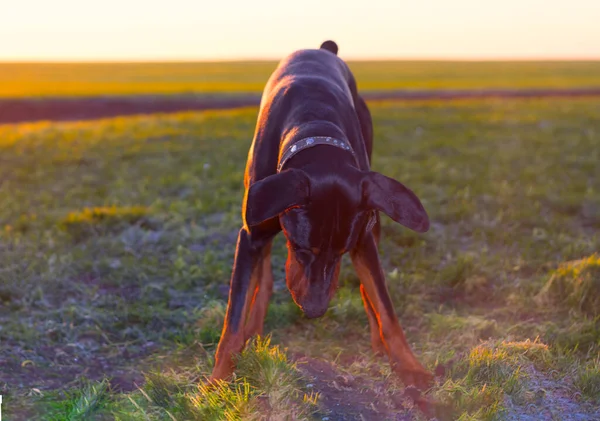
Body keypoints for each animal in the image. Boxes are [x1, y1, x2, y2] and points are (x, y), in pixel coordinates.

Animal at [210, 40, 432, 390]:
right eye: (301, 249)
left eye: (339, 253)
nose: (314, 312)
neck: (314, 126)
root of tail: (323, 48)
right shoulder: (251, 232)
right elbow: (234, 316)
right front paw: (218, 380)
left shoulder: (362, 236)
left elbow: (386, 306)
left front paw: (411, 366)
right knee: (263, 278)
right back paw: (254, 330)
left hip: (375, 216)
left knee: (368, 289)